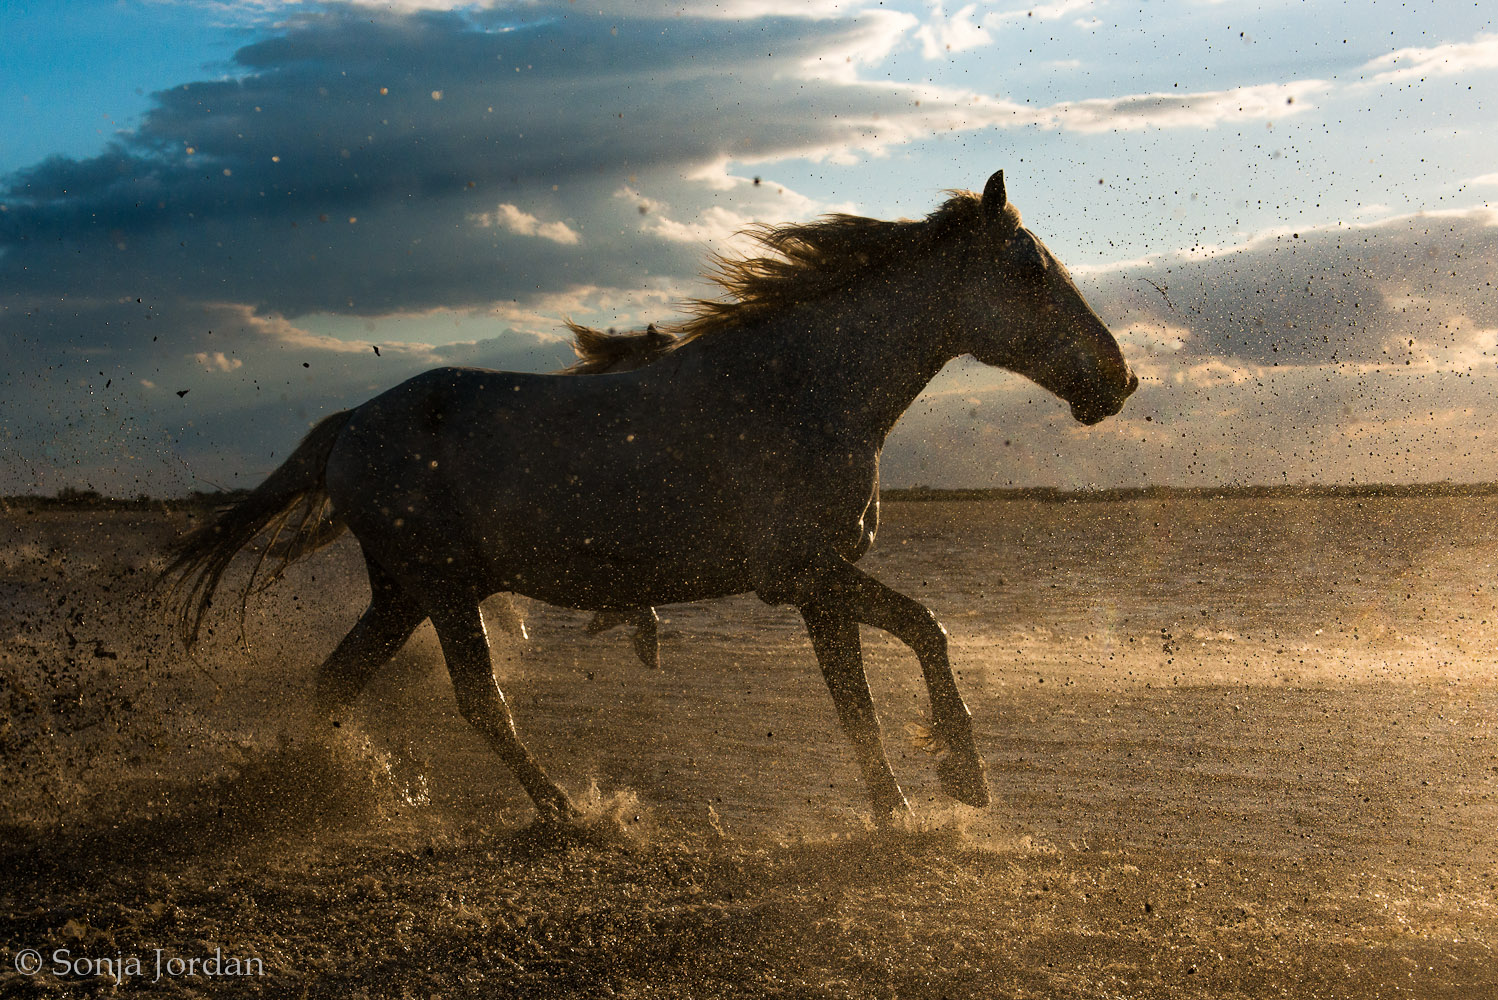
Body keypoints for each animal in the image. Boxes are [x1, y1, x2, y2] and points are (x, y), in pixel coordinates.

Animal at [167, 172, 1132, 826]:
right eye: (1028, 270)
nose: (1118, 380)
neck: (804, 389)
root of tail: (351, 425)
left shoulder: (821, 589)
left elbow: (855, 706)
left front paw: (897, 817)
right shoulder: (799, 575)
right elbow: (928, 629)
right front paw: (965, 776)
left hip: (405, 593)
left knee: (339, 680)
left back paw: (317, 789)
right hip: (440, 590)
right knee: (480, 702)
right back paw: (570, 815)